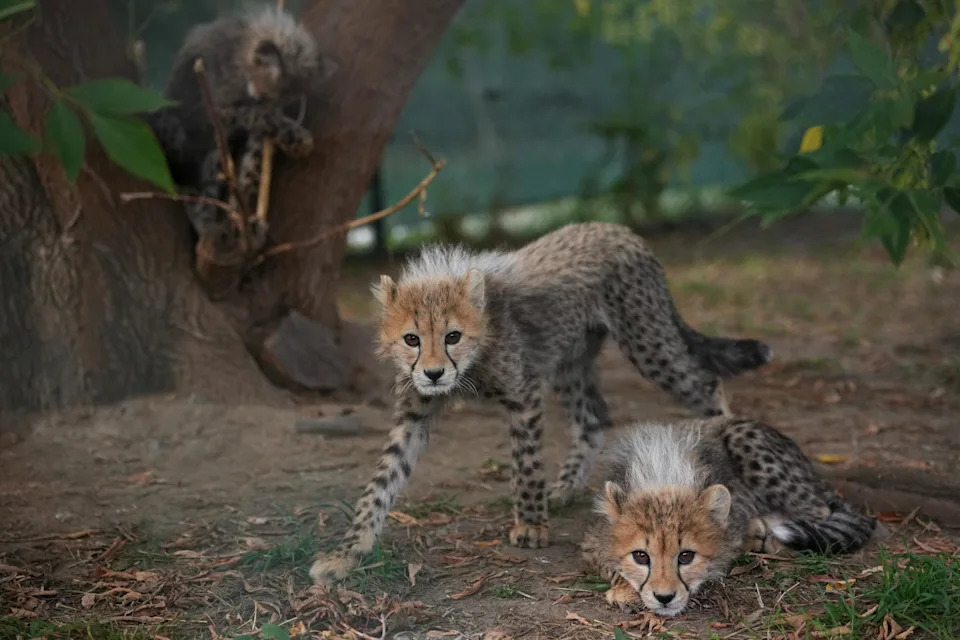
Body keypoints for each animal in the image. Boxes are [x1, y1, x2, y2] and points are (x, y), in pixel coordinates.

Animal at [309, 221, 775, 585]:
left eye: (452, 336)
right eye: (412, 339)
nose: (435, 373)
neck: (474, 359)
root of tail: (615, 228)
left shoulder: (524, 398)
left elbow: (526, 465)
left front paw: (531, 525)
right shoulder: (412, 416)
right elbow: (379, 486)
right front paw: (347, 554)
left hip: (649, 344)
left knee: (707, 386)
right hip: (571, 359)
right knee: (593, 418)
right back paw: (566, 488)